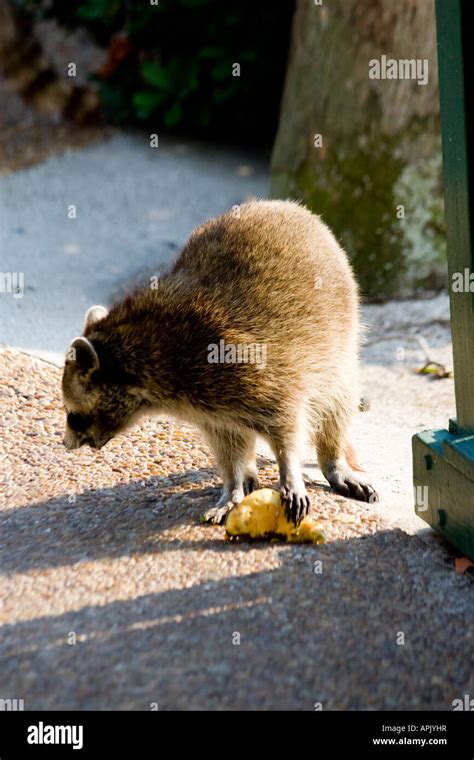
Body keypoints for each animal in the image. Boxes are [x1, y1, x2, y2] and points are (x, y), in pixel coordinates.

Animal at [62, 199, 378, 524]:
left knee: (336, 404)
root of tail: (287, 206)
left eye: (74, 415)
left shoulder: (251, 369)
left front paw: (290, 473)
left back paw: (333, 459)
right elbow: (230, 448)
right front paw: (234, 486)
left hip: (339, 341)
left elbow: (288, 426)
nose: (66, 444)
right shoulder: (214, 413)